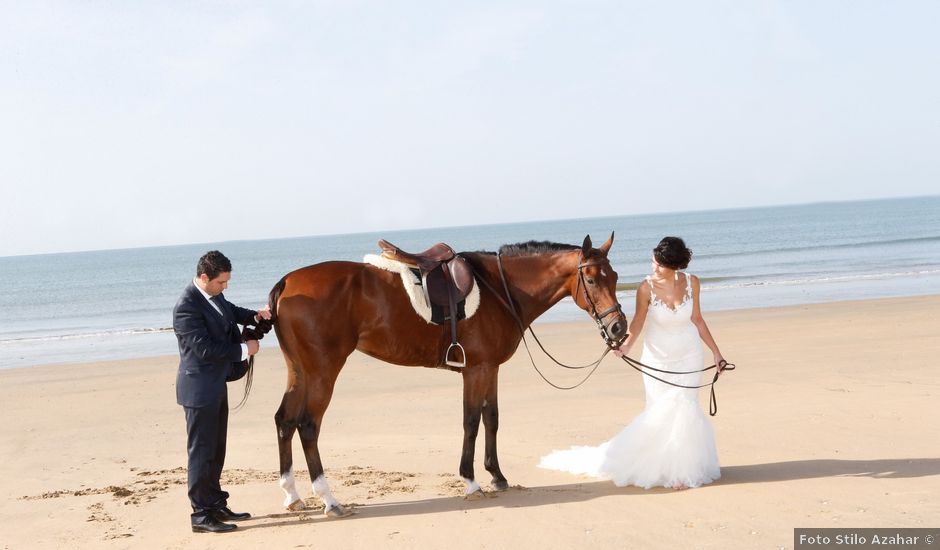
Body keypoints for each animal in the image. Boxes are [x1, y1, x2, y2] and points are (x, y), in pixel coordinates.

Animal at [268, 233, 628, 516]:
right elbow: (471, 421)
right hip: (323, 370)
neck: (501, 289)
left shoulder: (490, 368)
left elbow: (491, 418)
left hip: (299, 370)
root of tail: (288, 281)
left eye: (614, 276)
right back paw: (329, 499)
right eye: (592, 280)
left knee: (285, 420)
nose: (618, 328)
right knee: (308, 425)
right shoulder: (476, 370)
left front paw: (497, 476)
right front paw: (471, 481)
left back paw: (292, 495)